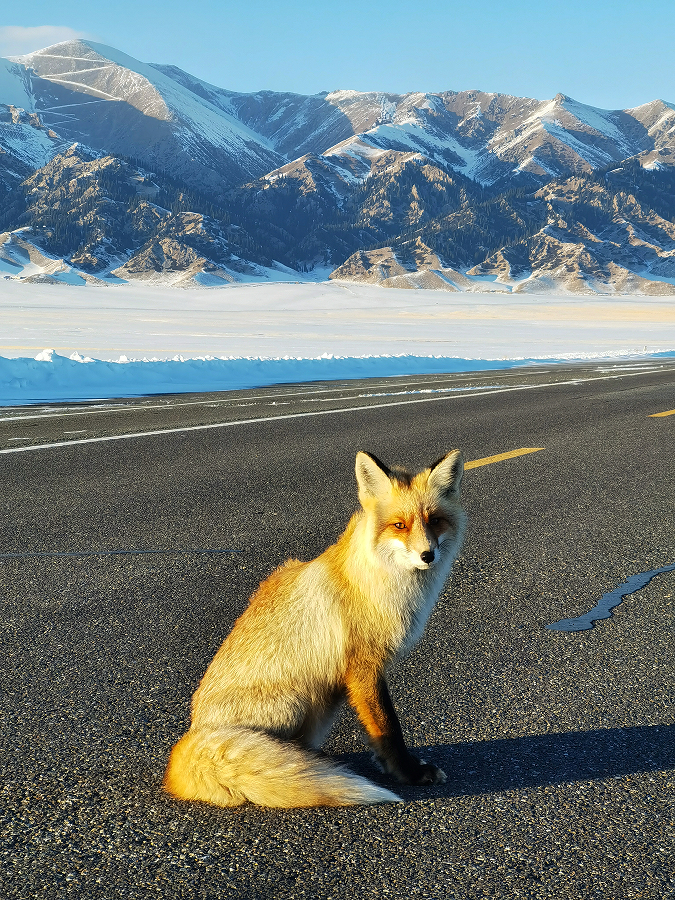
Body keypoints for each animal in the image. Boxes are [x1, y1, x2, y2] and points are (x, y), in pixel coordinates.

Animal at [166, 450, 468, 808]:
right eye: (399, 525)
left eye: (434, 520)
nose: (427, 555)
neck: (375, 584)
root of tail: (192, 735)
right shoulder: (364, 667)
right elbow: (389, 729)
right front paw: (408, 772)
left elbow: (379, 734)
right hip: (298, 698)